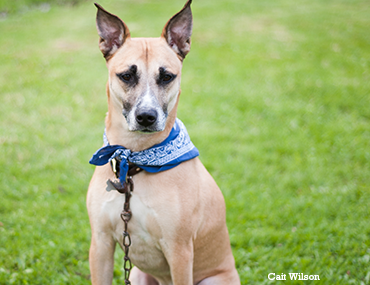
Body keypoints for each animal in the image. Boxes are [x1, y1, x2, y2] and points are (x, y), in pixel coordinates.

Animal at [86, 1, 240, 282]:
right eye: (126, 76)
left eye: (167, 76)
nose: (147, 116)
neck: (134, 161)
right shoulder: (100, 243)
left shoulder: (179, 251)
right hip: (138, 274)